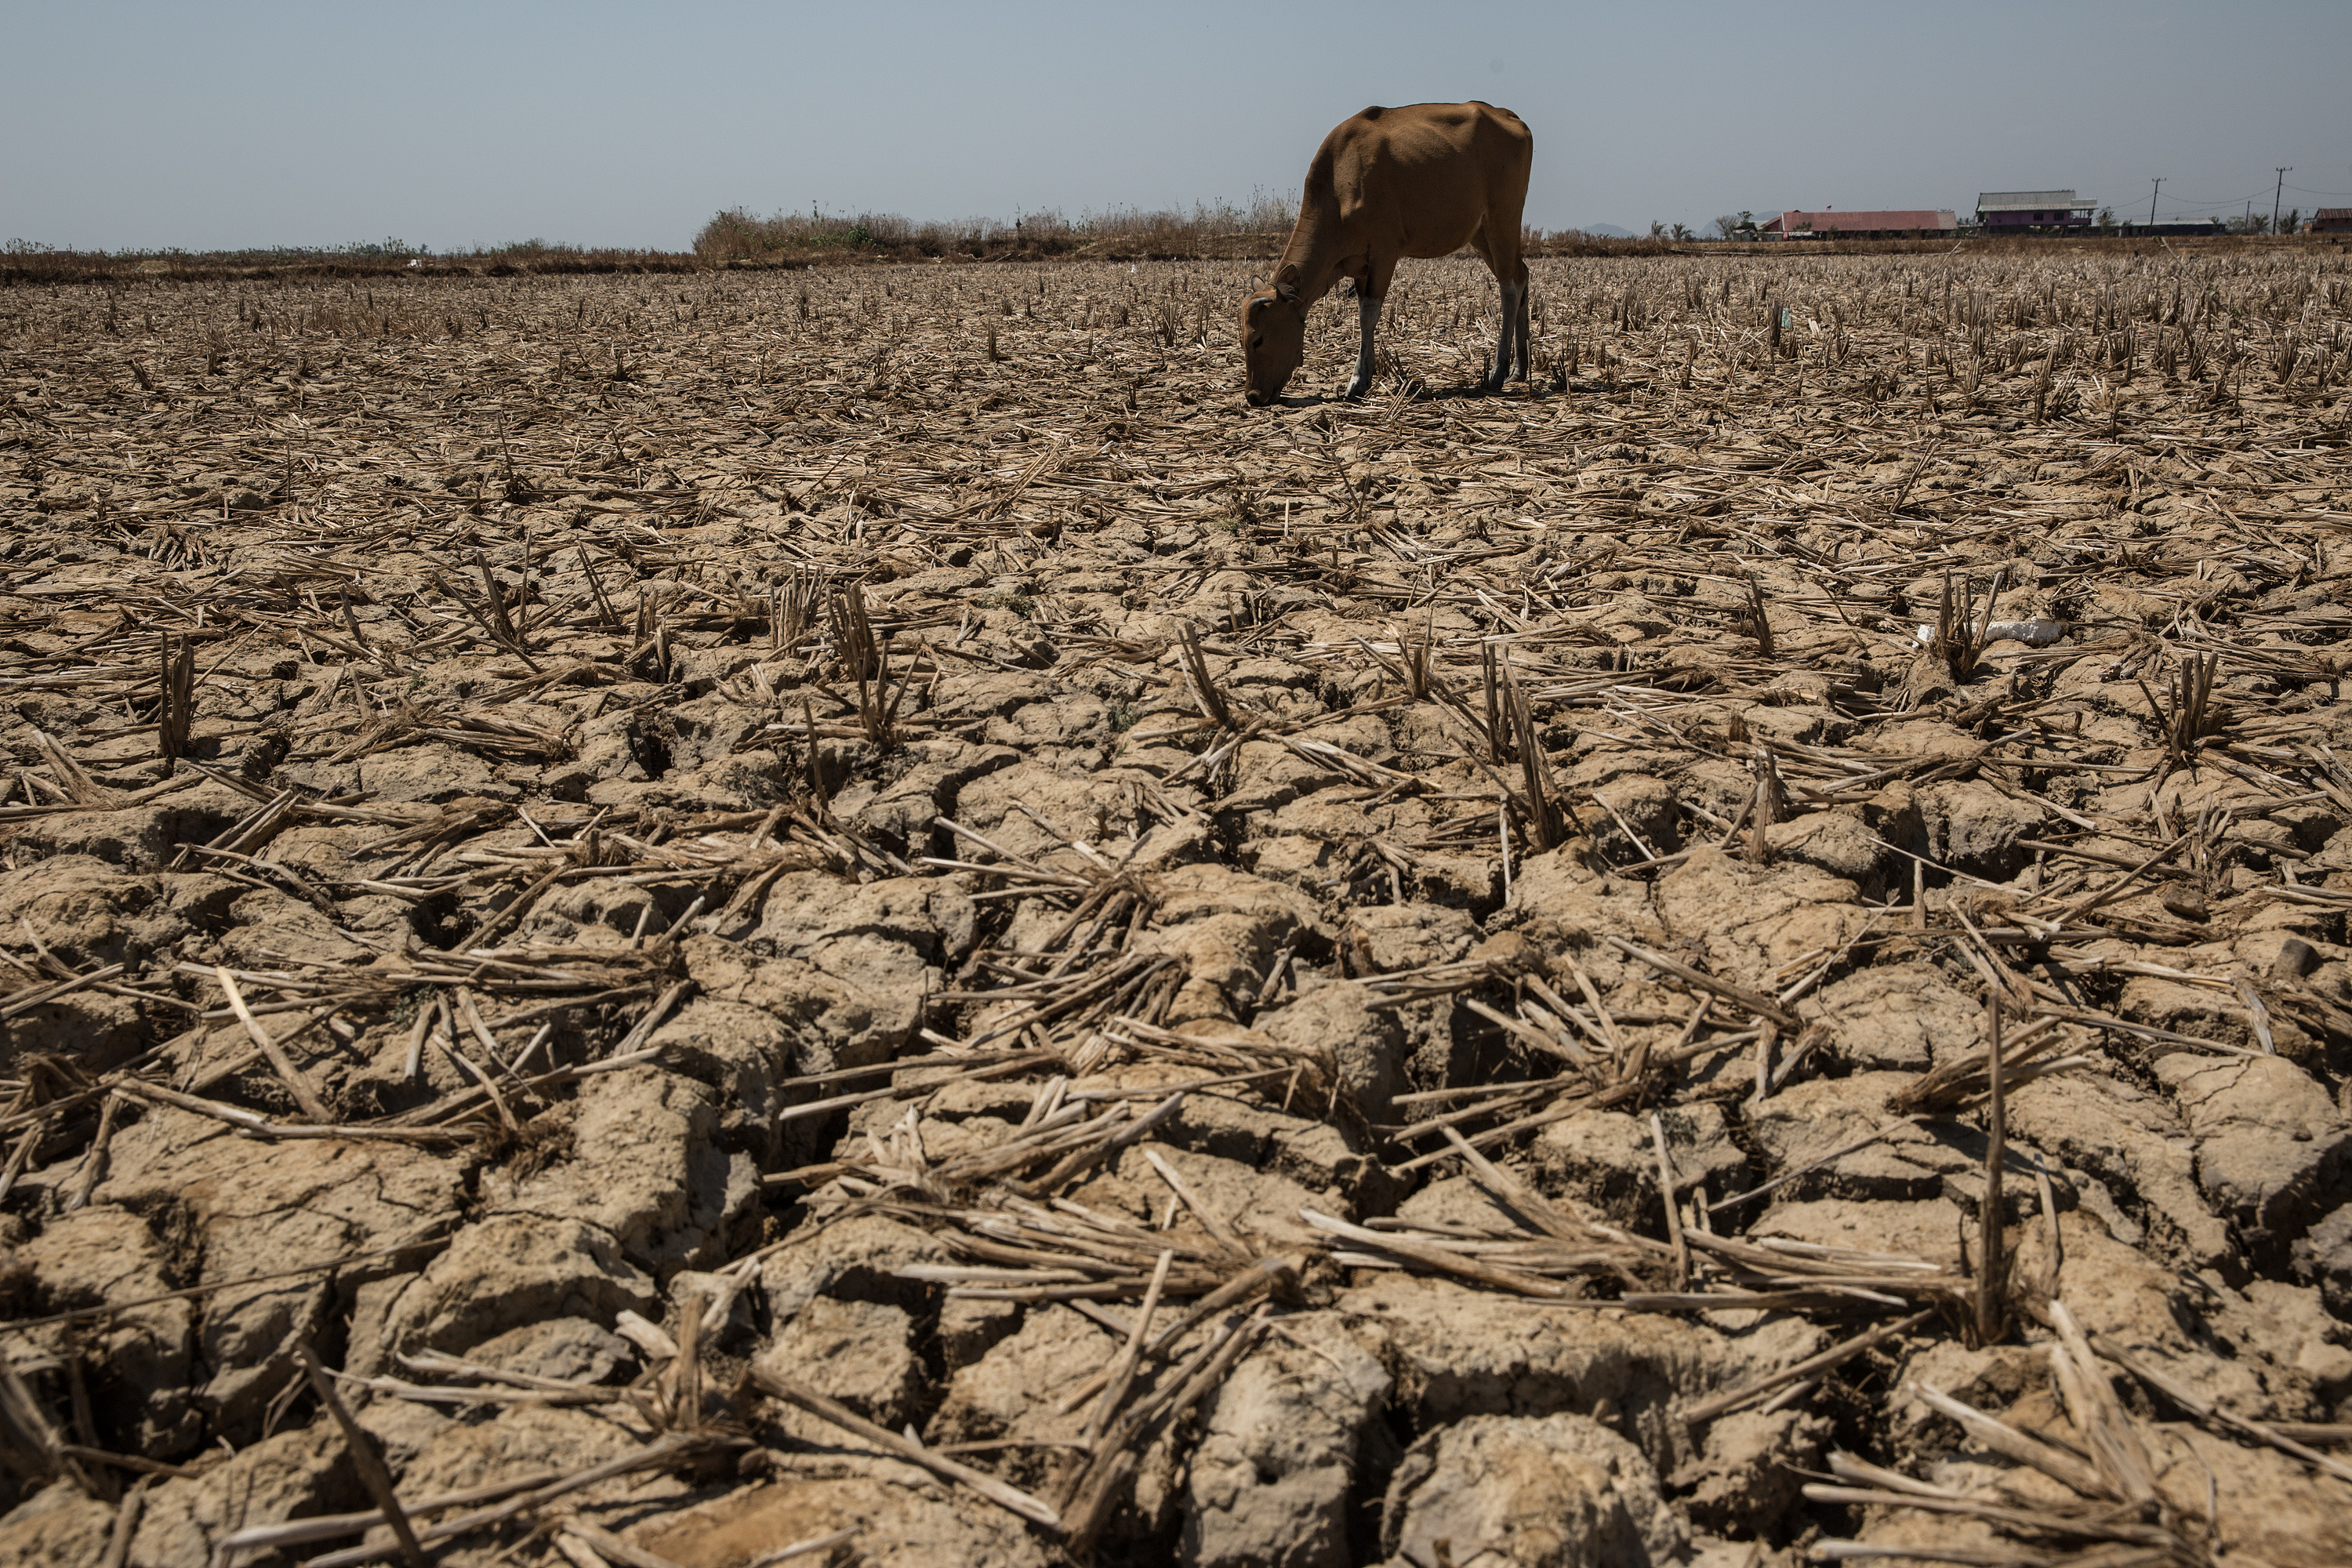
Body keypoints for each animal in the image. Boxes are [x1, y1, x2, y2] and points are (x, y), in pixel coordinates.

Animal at [1239, 101, 1533, 407]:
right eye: (1242, 340)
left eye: (1258, 339)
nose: (1253, 395)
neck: (1340, 181)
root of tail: (1508, 115)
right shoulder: (1359, 266)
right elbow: (1362, 311)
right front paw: (1365, 375)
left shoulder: (1385, 253)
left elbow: (1369, 313)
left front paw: (1357, 381)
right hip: (1481, 232)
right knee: (1521, 274)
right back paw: (1519, 369)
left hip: (1503, 219)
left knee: (1509, 287)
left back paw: (1498, 373)